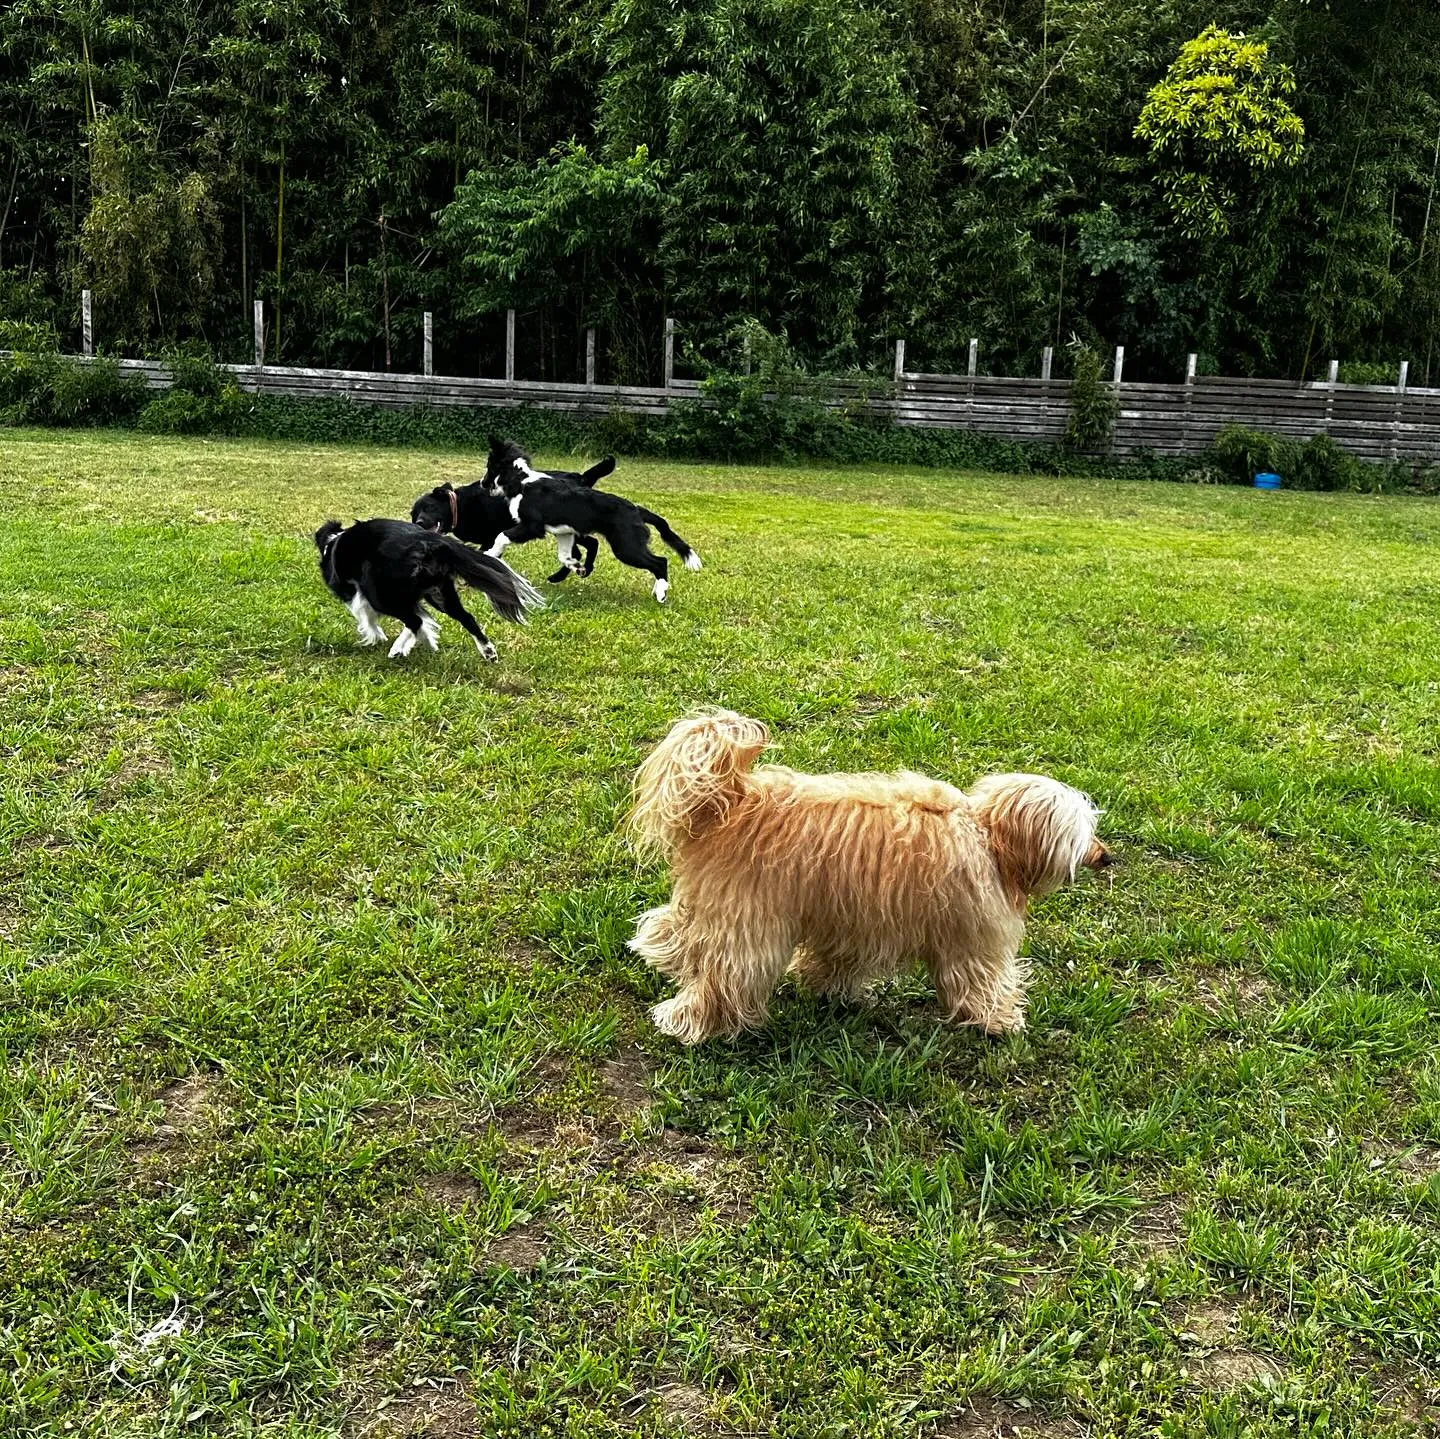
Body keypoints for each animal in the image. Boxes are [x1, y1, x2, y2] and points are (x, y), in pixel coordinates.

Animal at [313, 518, 541, 662]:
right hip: (440, 592)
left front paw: (379, 638)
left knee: (414, 620)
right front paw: (426, 642)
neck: (332, 543)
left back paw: (397, 650)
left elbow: (368, 618)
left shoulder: (358, 596)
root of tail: (434, 541)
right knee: (465, 617)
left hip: (381, 592)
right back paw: (488, 652)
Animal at [417, 452, 619, 581]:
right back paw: (571, 573)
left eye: (429, 507)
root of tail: (581, 478)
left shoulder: (492, 537)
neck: (460, 506)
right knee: (589, 545)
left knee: (587, 546)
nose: (419, 522)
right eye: (414, 514)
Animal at [480, 432, 699, 602]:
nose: (482, 483)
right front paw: (577, 567)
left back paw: (661, 593)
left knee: (660, 562)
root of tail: (637, 509)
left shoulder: (532, 526)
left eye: (489, 467)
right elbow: (565, 555)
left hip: (626, 547)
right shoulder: (565, 533)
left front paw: (490, 554)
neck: (521, 481)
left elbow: (501, 536)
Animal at [624, 711, 1105, 1042]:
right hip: (750, 925)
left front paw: (827, 988)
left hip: (721, 902)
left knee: (679, 929)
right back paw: (692, 1022)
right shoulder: (970, 940)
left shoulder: (852, 921)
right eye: (1083, 833)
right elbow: (979, 982)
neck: (990, 835)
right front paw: (999, 1020)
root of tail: (735, 797)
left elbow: (834, 961)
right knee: (724, 979)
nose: (1107, 856)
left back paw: (656, 950)